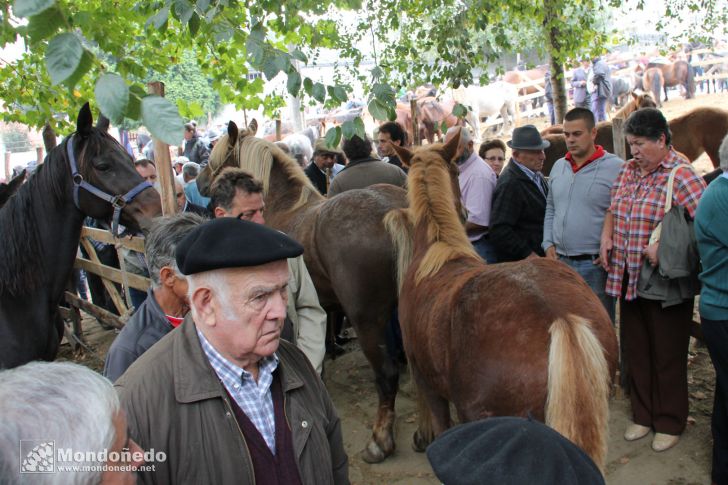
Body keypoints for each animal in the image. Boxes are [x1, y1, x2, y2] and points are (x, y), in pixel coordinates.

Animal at [196, 121, 412, 462]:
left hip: (368, 320)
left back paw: (380, 439)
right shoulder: (322, 303)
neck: (281, 205)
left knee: (387, 373)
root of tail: (392, 210)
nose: (200, 181)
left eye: (215, 155)